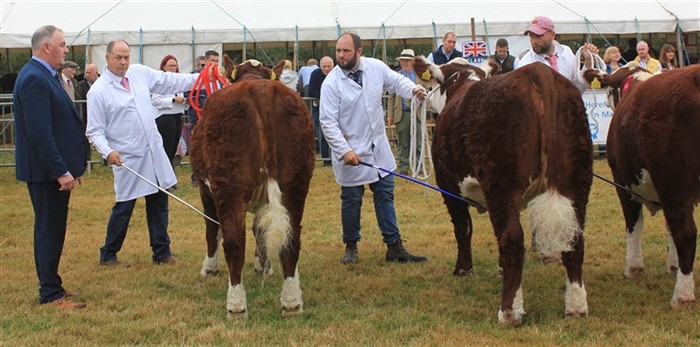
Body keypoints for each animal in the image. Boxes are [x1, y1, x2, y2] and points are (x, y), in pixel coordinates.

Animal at [189, 58, 314, 320]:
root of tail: (260, 88)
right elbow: (260, 228)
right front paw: (263, 264)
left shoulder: (206, 190)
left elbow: (212, 229)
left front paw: (210, 268)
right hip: (296, 184)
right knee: (291, 240)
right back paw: (291, 302)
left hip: (229, 187)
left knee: (234, 241)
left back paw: (236, 306)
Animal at [412, 57, 592, 326]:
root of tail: (537, 72)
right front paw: (498, 269)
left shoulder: (448, 187)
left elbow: (463, 229)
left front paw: (463, 269)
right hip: (578, 181)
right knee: (574, 238)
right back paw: (576, 306)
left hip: (502, 185)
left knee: (512, 238)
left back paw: (509, 312)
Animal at [588, 63, 696, 308]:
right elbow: (669, 227)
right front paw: (673, 265)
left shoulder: (622, 181)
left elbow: (634, 222)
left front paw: (633, 267)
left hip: (673, 182)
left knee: (686, 232)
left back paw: (683, 295)